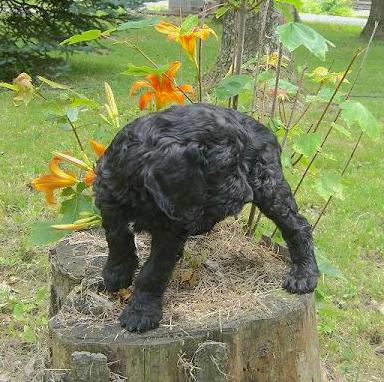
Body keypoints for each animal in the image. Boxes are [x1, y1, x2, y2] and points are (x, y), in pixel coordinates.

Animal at [92, 103, 318, 332]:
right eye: (225, 167)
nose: (246, 194)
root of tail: (266, 128)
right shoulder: (109, 200)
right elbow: (117, 240)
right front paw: (116, 274)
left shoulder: (171, 230)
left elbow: (154, 270)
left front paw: (141, 311)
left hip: (268, 185)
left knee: (298, 226)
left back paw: (304, 274)